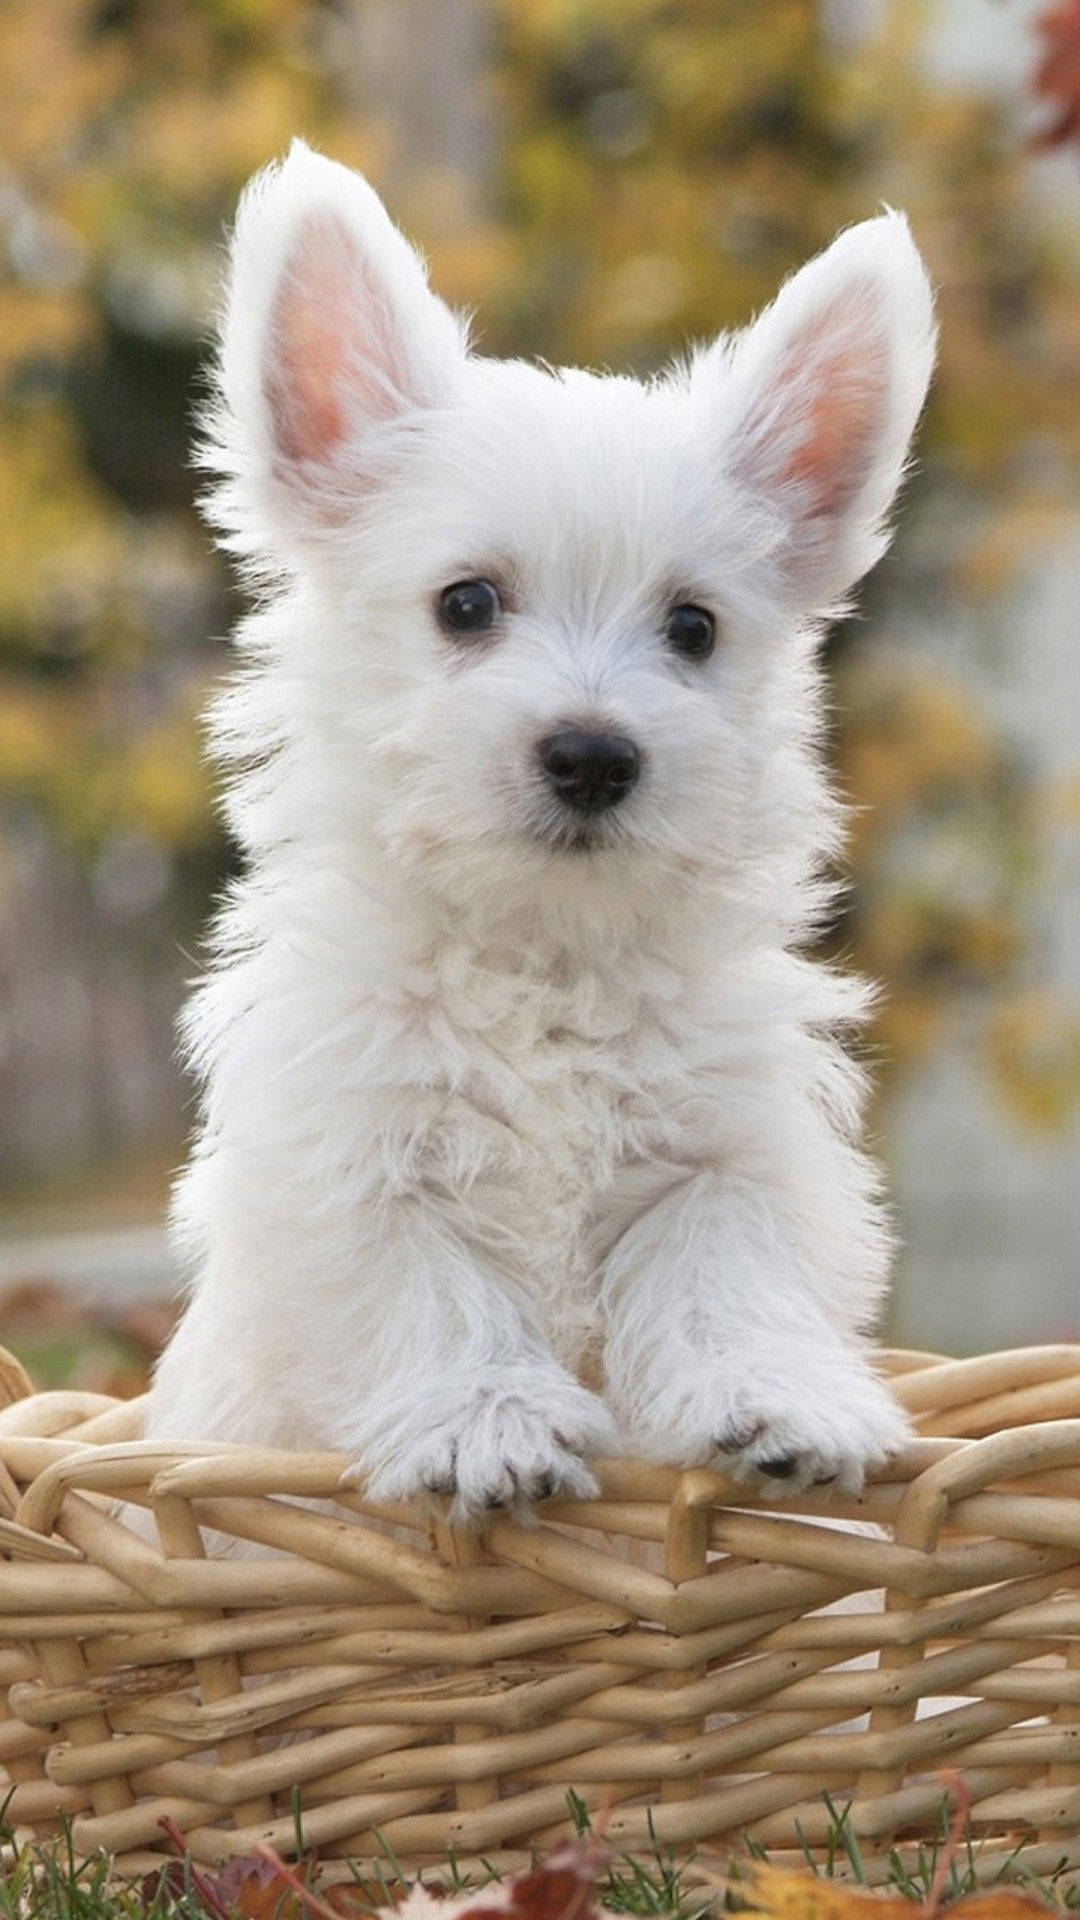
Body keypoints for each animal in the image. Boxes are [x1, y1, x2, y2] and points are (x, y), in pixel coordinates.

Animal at [143, 135, 933, 1520]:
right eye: (466, 604)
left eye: (693, 628)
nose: (593, 756)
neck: (542, 954)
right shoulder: (351, 1160)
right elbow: (431, 1293)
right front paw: (488, 1425)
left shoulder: (726, 1150)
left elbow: (723, 1273)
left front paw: (783, 1403)